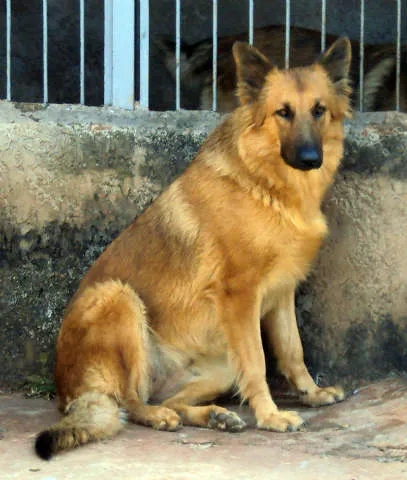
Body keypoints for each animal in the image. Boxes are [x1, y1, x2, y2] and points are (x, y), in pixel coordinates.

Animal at [35, 36, 354, 458]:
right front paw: (270, 416)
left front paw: (311, 393)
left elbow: (292, 350)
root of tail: (67, 392)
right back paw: (158, 416)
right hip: (118, 297)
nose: (309, 159)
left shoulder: (282, 293)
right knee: (130, 401)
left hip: (220, 367)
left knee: (169, 399)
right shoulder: (240, 297)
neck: (265, 184)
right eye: (283, 113)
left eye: (319, 111)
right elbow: (258, 364)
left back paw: (214, 416)